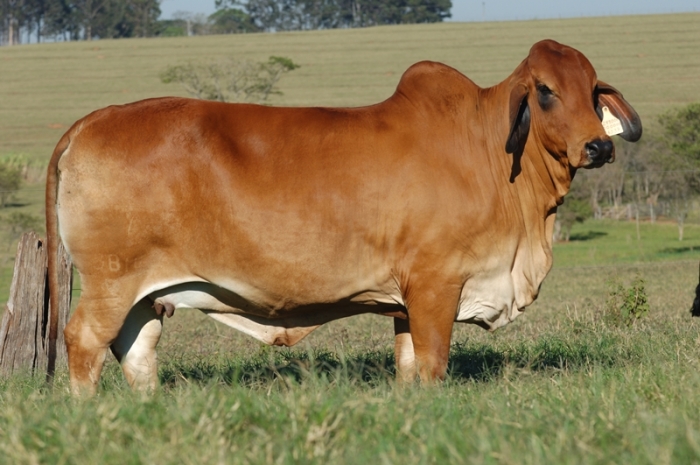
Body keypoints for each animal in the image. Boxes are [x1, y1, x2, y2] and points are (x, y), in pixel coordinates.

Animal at [46, 38, 644, 392]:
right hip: (112, 282)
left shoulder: (406, 299)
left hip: (144, 296)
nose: (598, 147)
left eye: (592, 90)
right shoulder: (436, 286)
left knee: (136, 354)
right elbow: (432, 365)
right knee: (83, 343)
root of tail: (92, 121)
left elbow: (408, 367)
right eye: (545, 91)